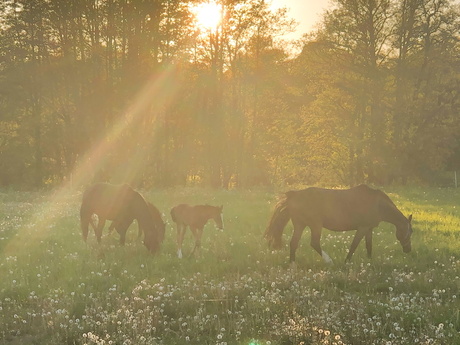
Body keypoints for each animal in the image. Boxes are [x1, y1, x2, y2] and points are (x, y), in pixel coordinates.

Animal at [264, 185, 416, 264]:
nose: (408, 249)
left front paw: (369, 261)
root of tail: (293, 195)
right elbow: (354, 245)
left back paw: (292, 264)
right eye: (410, 232)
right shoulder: (362, 228)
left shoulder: (368, 229)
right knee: (314, 243)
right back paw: (329, 261)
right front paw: (346, 261)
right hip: (315, 225)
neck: (378, 204)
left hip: (300, 225)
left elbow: (369, 246)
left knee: (293, 243)